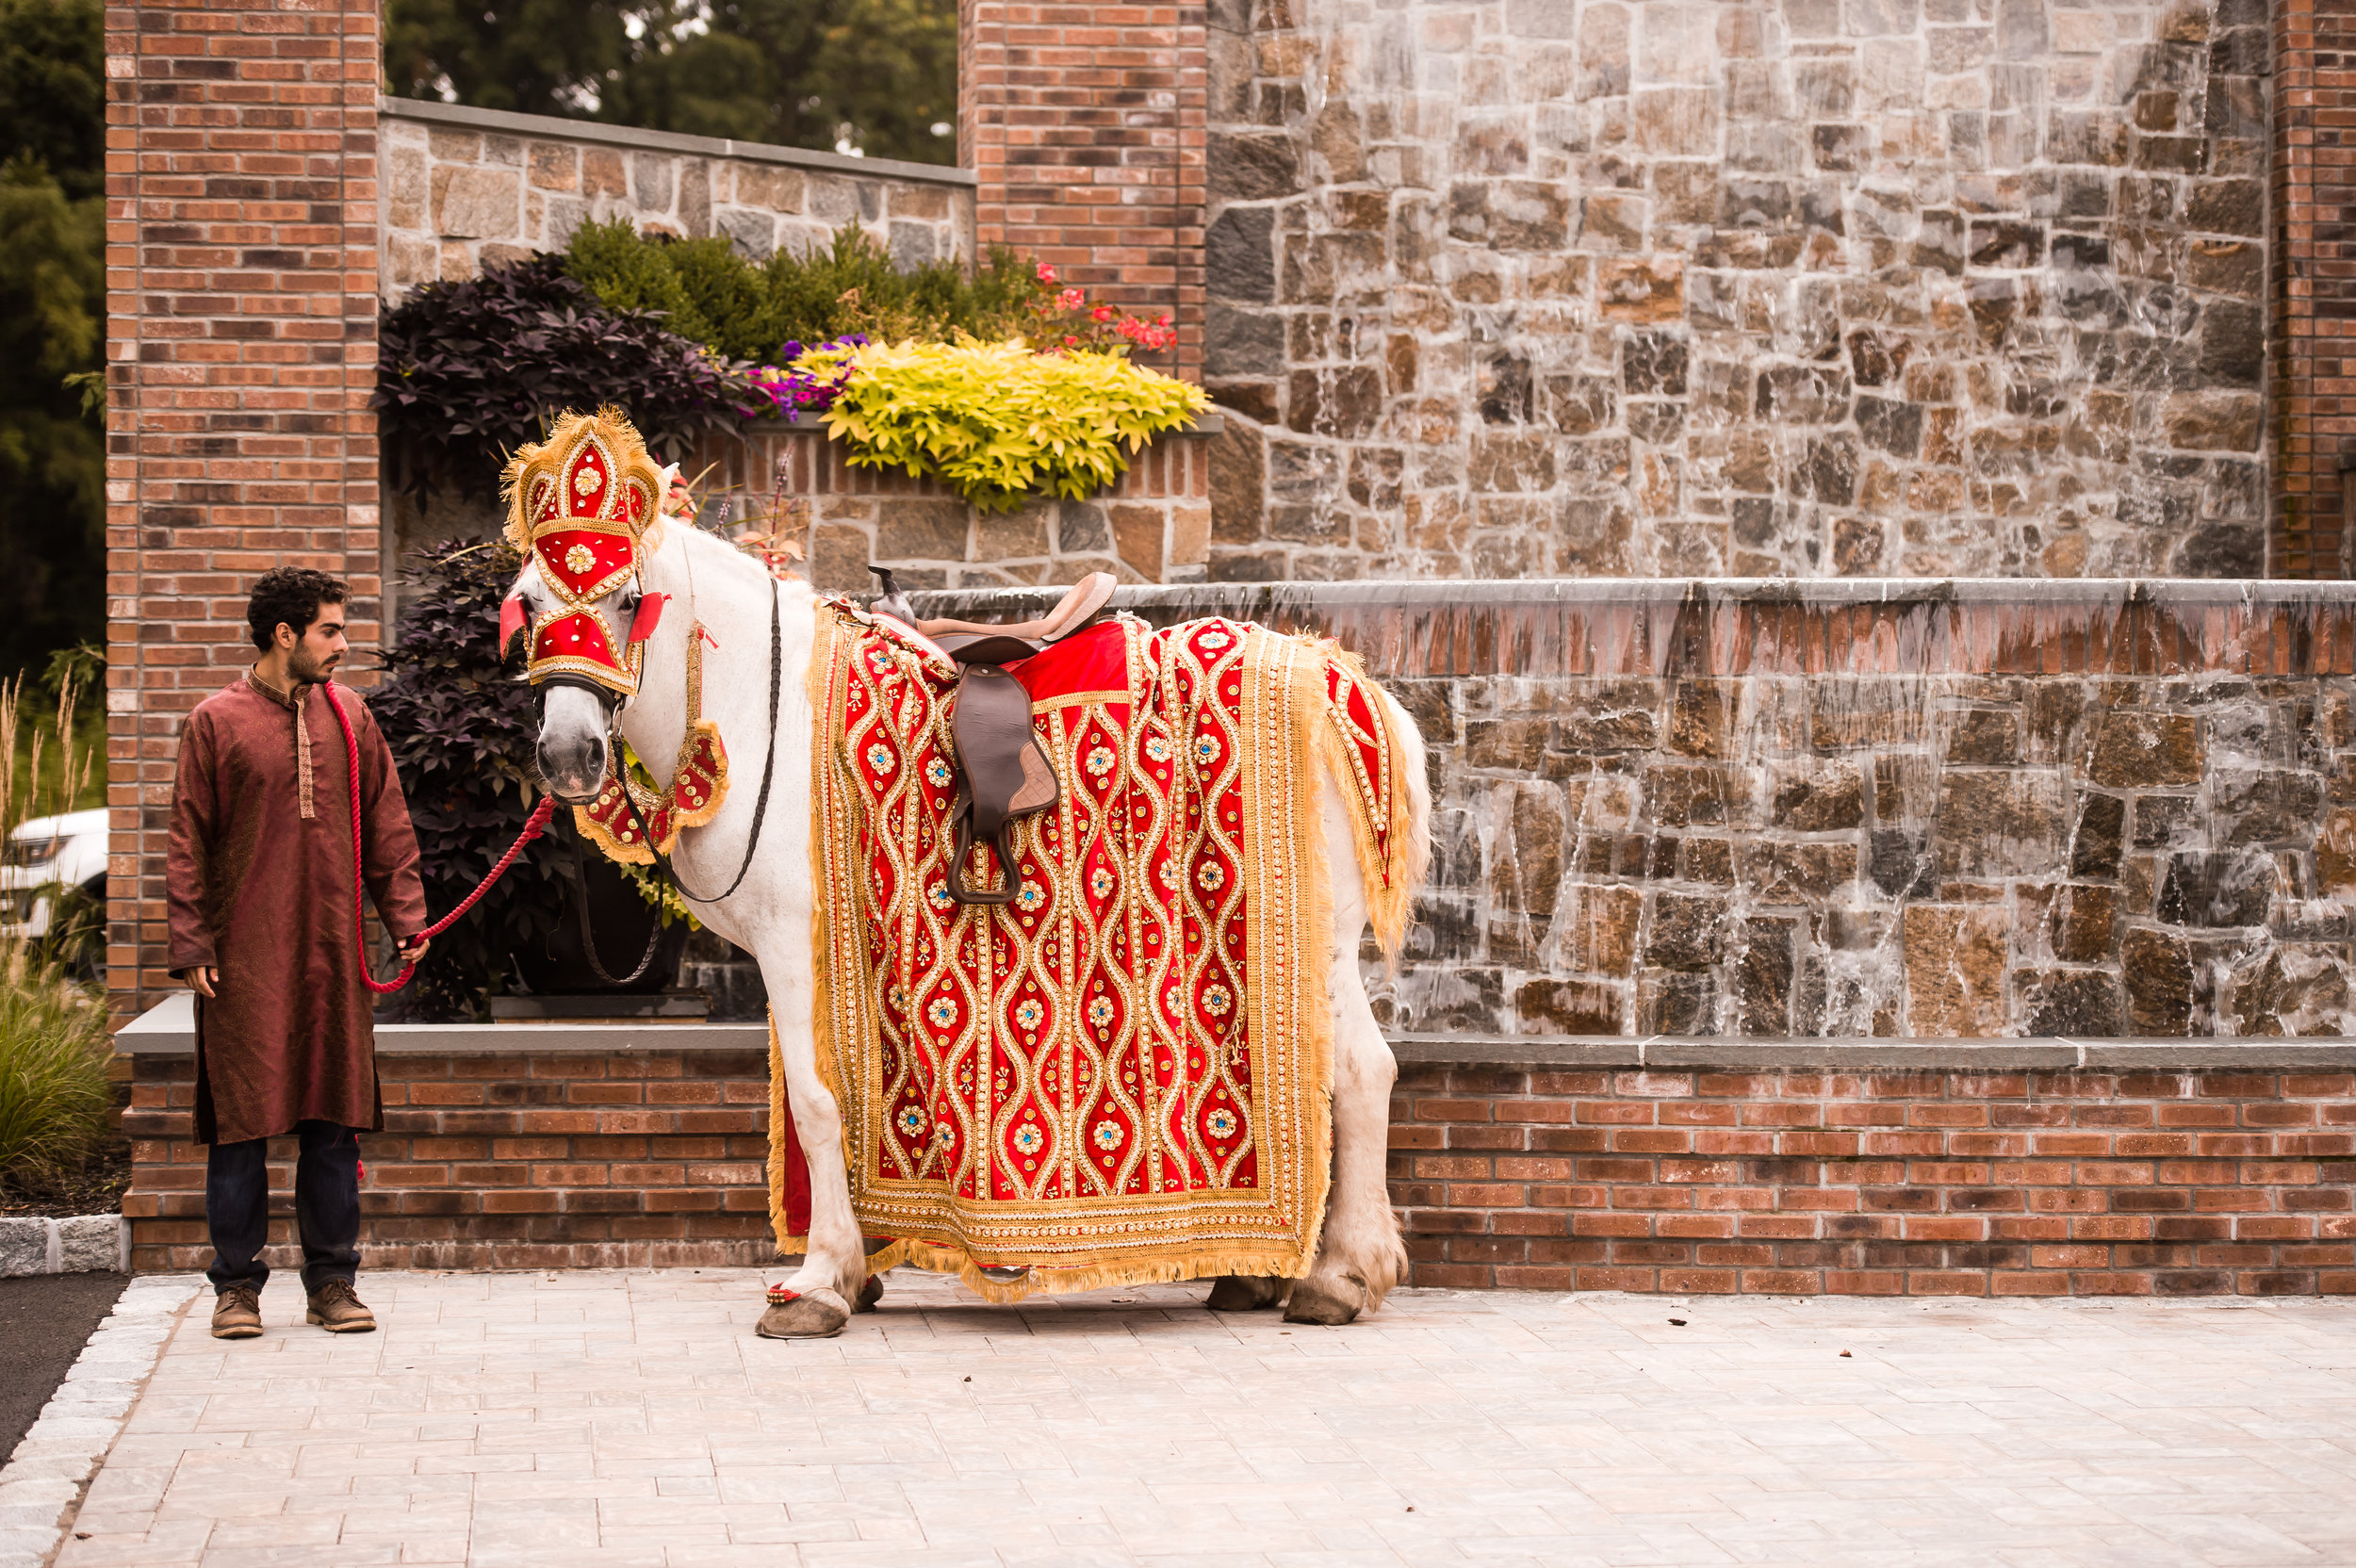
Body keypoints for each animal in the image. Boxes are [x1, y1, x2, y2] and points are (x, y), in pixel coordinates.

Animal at [501, 404, 1432, 1328]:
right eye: (529, 601)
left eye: (630, 599)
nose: (571, 755)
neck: (768, 711)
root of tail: (1346, 683)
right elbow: (837, 1096)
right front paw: (859, 1266)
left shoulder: (792, 943)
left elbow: (816, 1101)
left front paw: (819, 1280)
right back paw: (1264, 1272)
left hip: (1322, 940)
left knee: (1359, 1071)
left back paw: (1339, 1275)